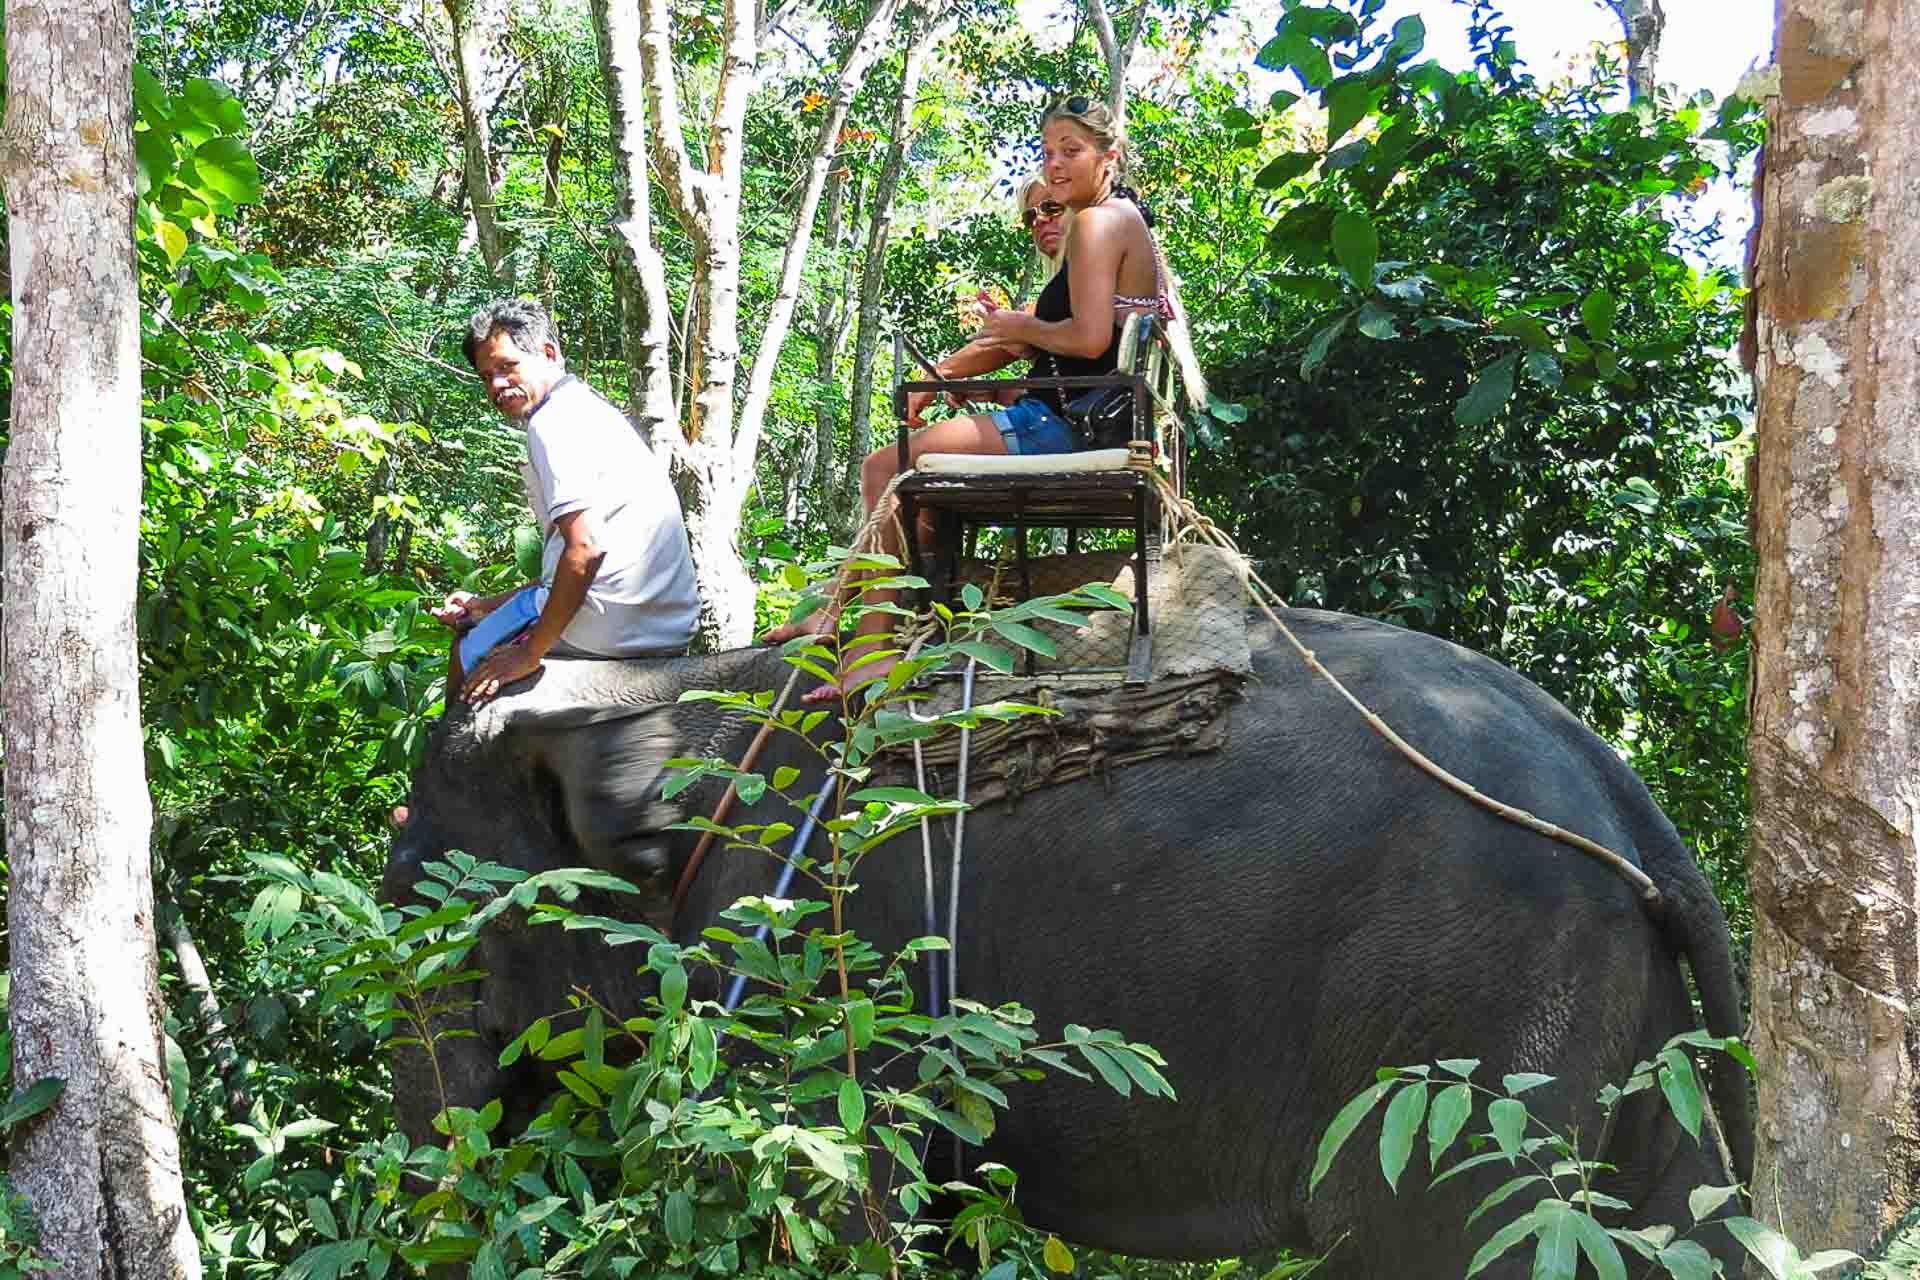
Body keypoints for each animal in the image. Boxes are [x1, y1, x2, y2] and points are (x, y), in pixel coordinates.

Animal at [382, 614, 1751, 1280]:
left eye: (429, 909)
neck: (667, 680)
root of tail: (1633, 810)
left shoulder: (809, 945)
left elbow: (844, 1197)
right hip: (1624, 1028)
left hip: (1472, 1034)